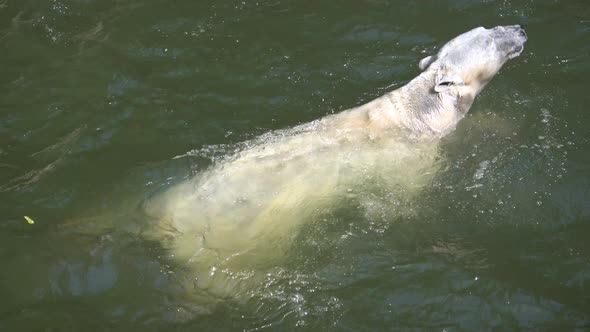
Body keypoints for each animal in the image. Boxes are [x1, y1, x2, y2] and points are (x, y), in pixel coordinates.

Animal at [143, 24, 528, 296]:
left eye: (489, 27)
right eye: (490, 40)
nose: (520, 29)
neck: (416, 114)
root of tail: (165, 227)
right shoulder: (412, 161)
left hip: (171, 196)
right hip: (229, 244)